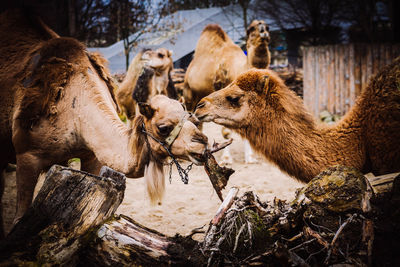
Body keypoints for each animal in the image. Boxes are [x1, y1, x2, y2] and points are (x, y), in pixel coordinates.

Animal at [0, 9, 208, 238]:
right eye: (163, 128)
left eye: (190, 117)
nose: (203, 143)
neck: (75, 106)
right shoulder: (27, 155)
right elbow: (19, 219)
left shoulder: (91, 155)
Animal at [184, 19, 272, 164]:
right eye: (251, 29)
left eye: (267, 26)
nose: (263, 29)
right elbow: (226, 131)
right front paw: (226, 159)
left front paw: (251, 158)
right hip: (189, 92)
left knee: (198, 122)